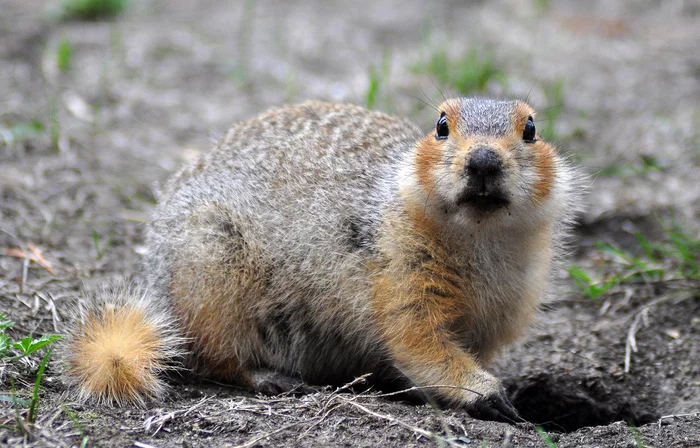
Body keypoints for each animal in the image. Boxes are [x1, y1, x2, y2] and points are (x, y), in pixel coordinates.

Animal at [64, 96, 580, 422]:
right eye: (441, 126)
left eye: (531, 129)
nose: (484, 160)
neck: (480, 238)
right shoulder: (400, 270)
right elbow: (418, 339)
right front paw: (488, 395)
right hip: (211, 273)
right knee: (213, 354)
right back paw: (273, 378)